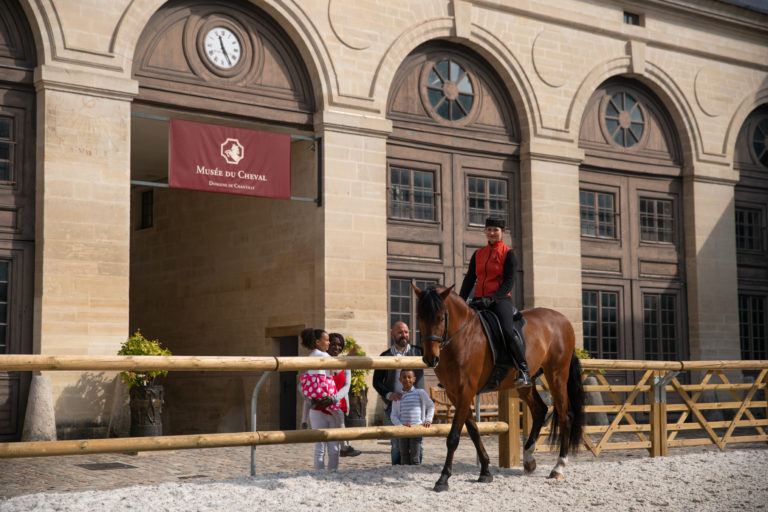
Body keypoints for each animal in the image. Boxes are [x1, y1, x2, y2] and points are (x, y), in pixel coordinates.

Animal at [414, 284, 584, 492]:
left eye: (440, 318)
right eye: (420, 317)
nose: (431, 359)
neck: (462, 337)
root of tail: (562, 320)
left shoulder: (465, 391)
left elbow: (454, 437)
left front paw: (443, 478)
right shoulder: (455, 394)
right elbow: (473, 431)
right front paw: (485, 471)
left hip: (556, 376)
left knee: (565, 416)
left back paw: (558, 467)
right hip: (526, 384)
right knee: (540, 410)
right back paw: (529, 459)